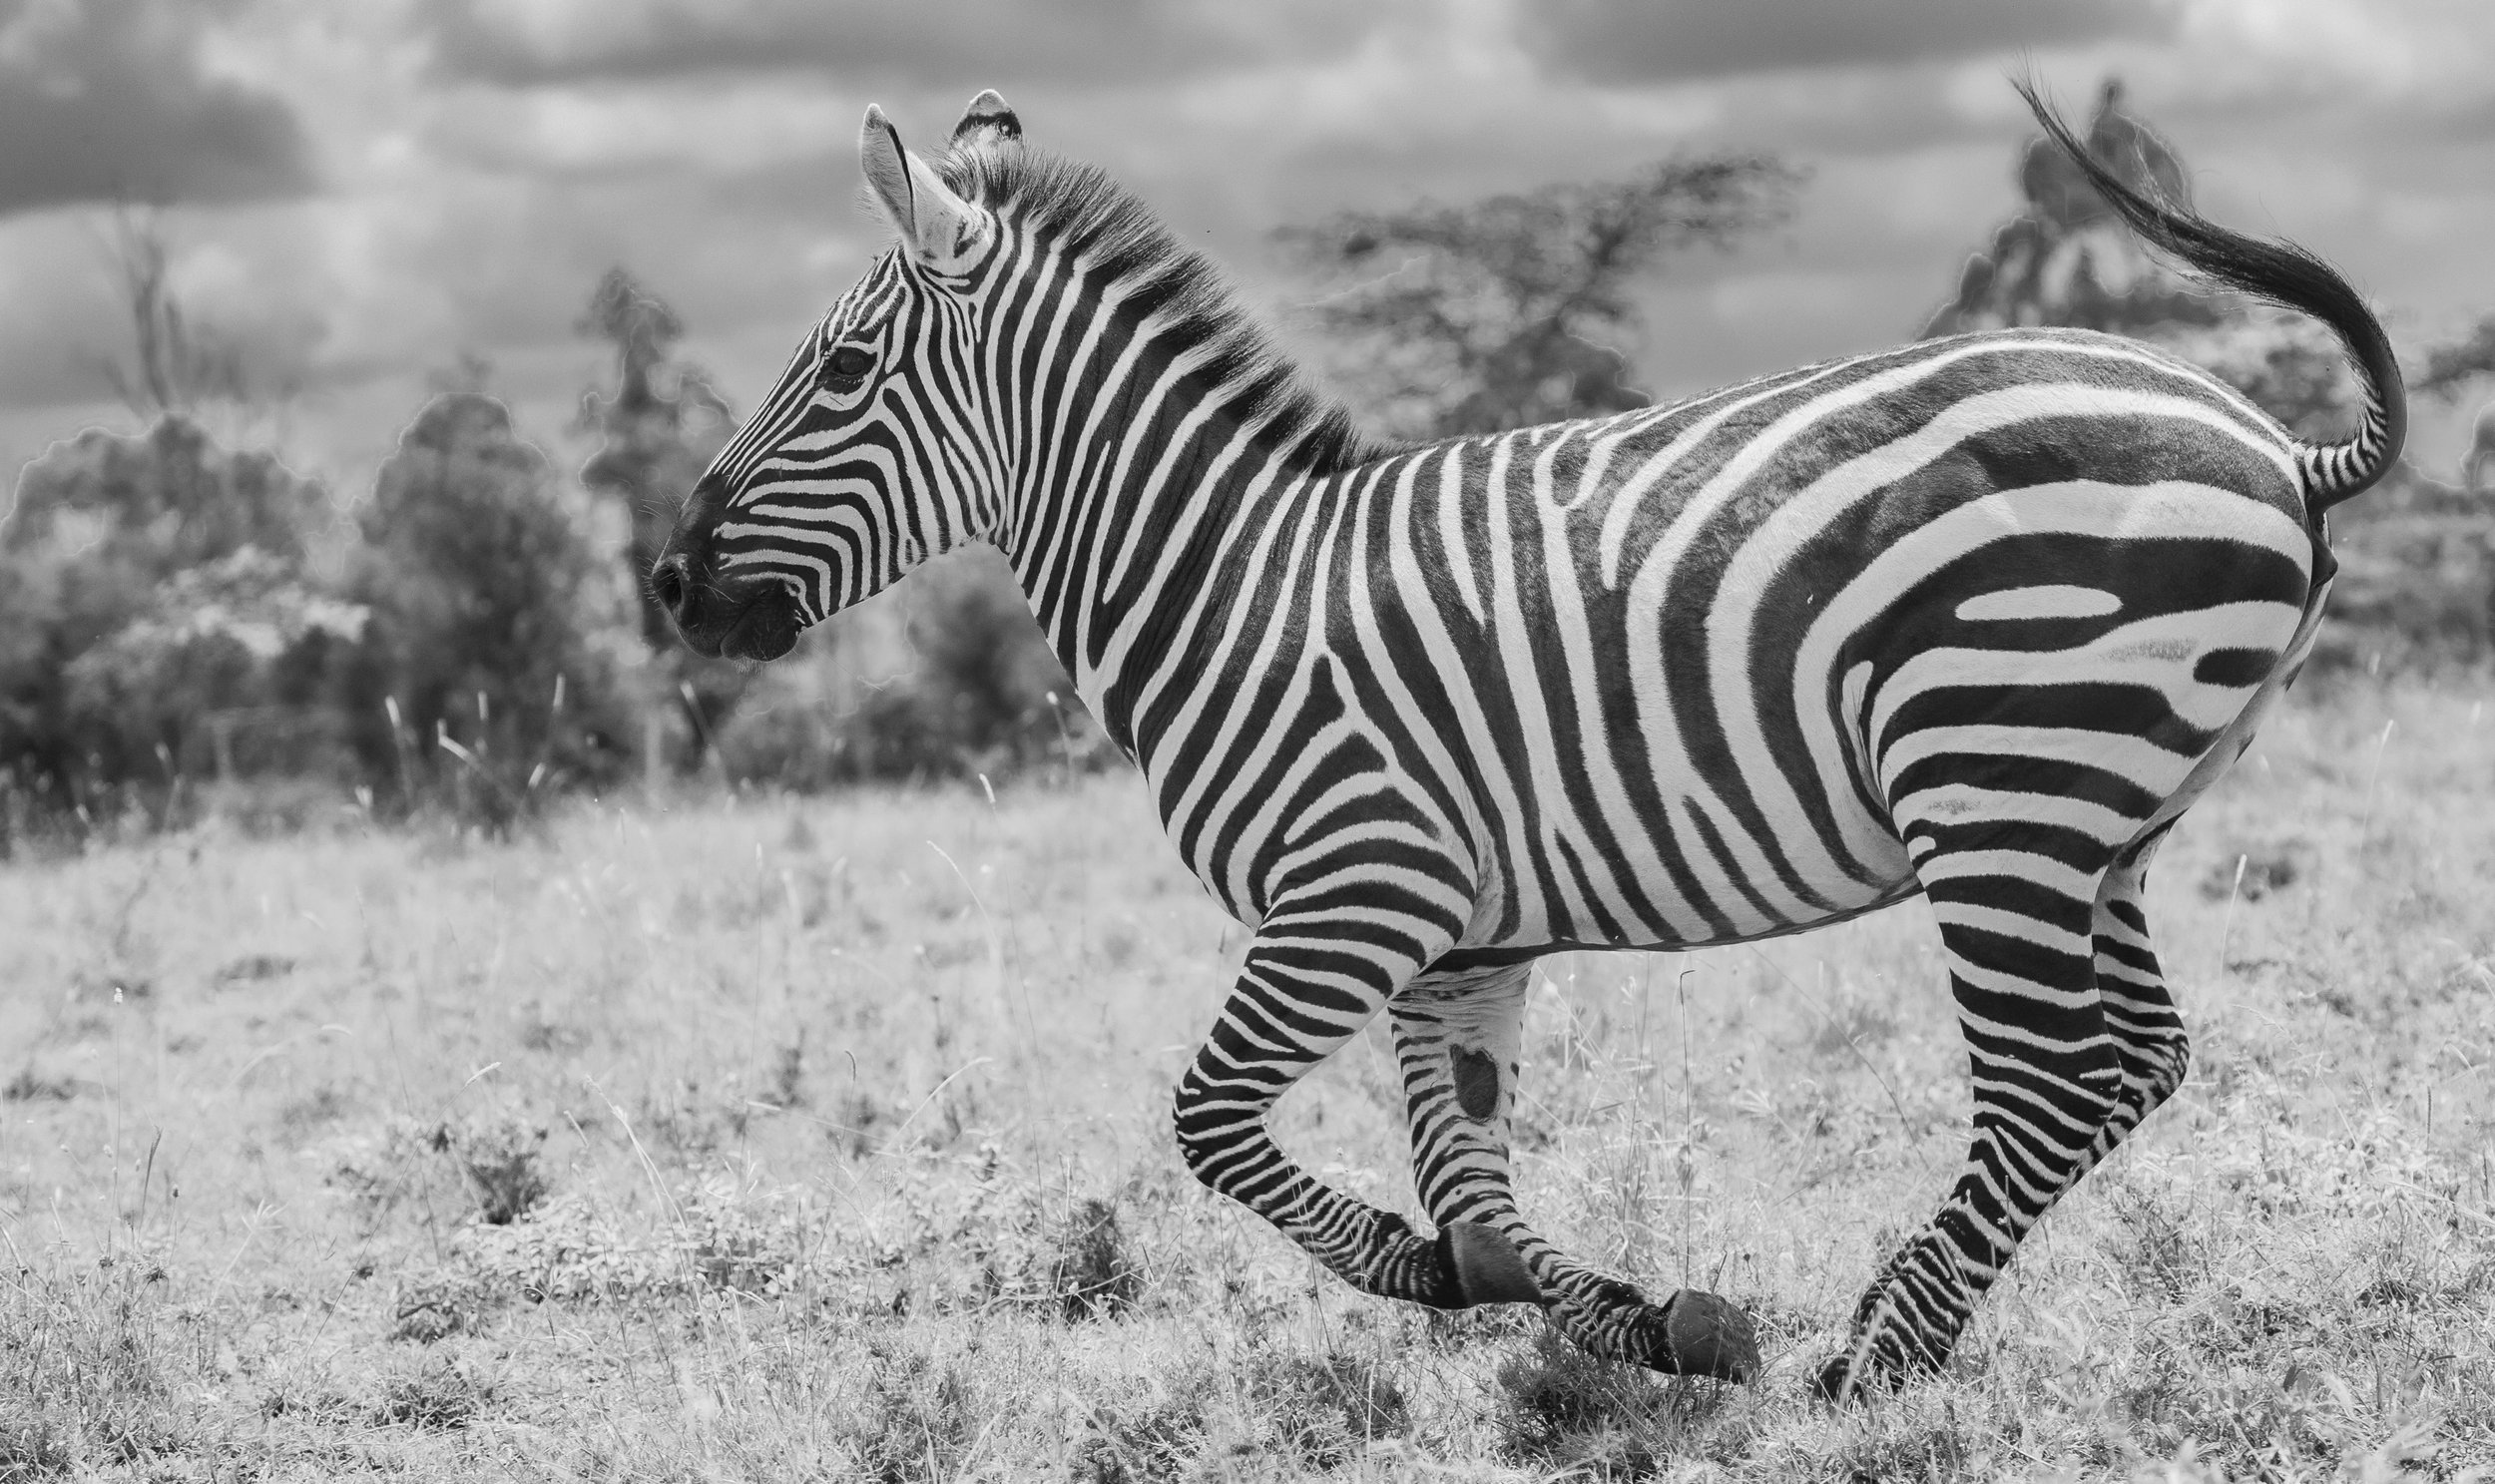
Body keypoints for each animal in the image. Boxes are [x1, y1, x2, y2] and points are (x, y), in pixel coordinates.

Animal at [651, 85, 2403, 1396]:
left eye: (843, 371)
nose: (668, 585)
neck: (1225, 584)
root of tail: (2278, 442)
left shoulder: (1357, 891)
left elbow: (1212, 1126)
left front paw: (1464, 1282)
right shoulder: (1460, 938)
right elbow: (1476, 1195)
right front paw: (1647, 1319)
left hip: (1998, 781)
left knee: (2052, 1074)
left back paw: (1880, 1354)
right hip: (2102, 820)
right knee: (2134, 1063)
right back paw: (1894, 1318)